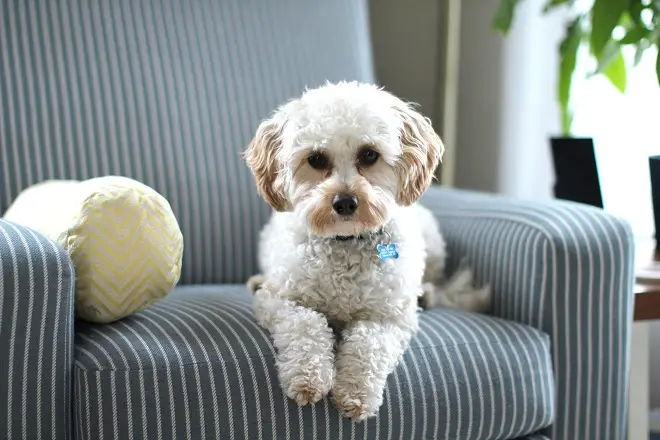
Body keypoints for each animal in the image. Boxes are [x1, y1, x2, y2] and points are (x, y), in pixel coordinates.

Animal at [244, 81, 490, 422]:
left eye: (370, 154)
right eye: (316, 159)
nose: (345, 202)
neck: (345, 242)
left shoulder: (388, 317)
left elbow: (367, 345)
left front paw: (355, 393)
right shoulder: (280, 300)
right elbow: (307, 325)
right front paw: (308, 377)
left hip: (432, 243)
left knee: (433, 278)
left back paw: (426, 294)